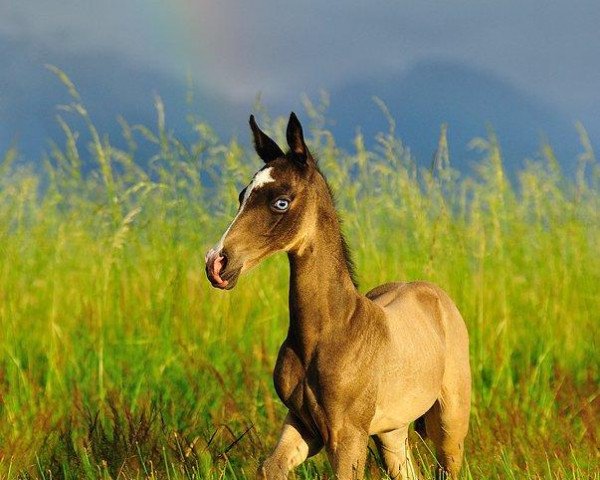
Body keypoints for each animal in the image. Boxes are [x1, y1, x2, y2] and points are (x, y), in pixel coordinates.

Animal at [209, 113, 472, 480]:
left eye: (281, 202)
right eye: (242, 195)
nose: (217, 263)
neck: (328, 331)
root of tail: (433, 292)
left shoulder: (348, 433)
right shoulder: (303, 423)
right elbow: (269, 467)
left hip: (450, 420)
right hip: (392, 431)